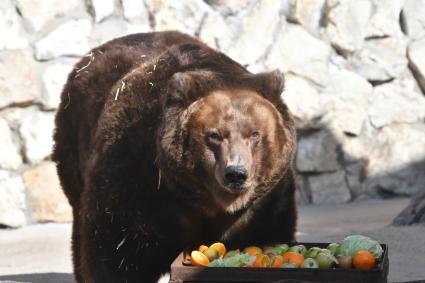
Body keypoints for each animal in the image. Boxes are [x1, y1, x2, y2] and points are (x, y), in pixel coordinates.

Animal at [53, 31, 296, 283]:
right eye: (214, 135)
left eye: (254, 134)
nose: (236, 174)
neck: (204, 200)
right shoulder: (138, 179)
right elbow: (116, 252)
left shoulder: (262, 204)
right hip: (73, 143)